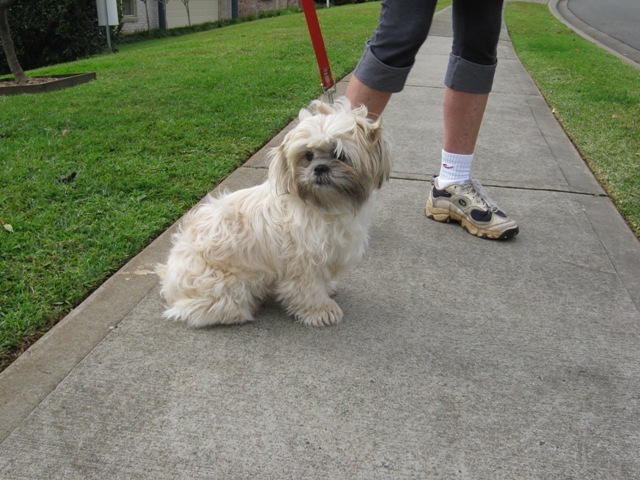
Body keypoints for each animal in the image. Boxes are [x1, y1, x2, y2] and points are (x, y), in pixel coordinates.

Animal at [158, 98, 391, 327]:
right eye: (308, 156)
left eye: (340, 155)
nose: (319, 168)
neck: (325, 205)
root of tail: (170, 281)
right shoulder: (303, 262)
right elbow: (309, 289)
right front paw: (321, 310)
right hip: (226, 286)